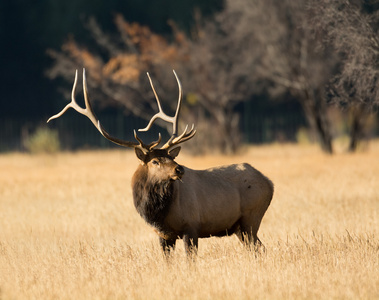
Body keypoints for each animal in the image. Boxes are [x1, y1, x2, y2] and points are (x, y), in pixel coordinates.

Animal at [47, 69, 274, 254]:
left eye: (172, 157)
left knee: (260, 248)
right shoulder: (163, 236)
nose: (179, 169)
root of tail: (269, 182)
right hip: (239, 228)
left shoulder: (191, 226)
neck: (158, 214)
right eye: (155, 161)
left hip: (251, 218)